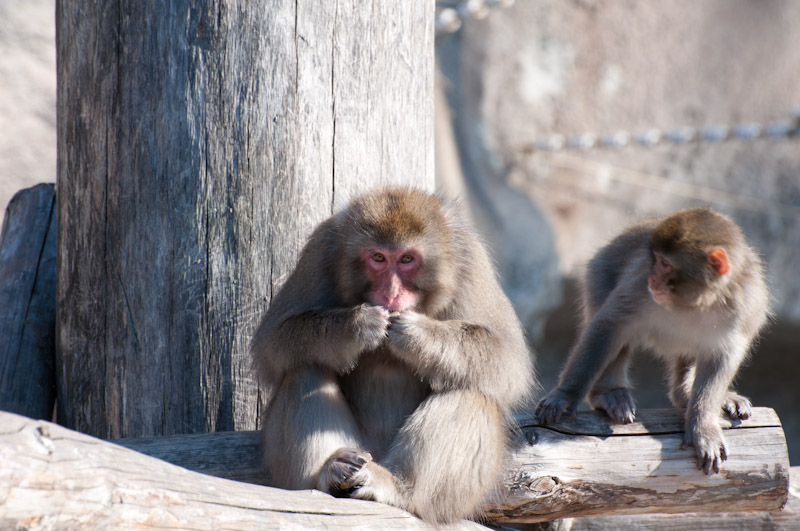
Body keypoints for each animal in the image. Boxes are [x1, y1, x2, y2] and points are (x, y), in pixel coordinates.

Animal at [253, 187, 536, 524]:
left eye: (407, 259)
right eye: (378, 258)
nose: (391, 293)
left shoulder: (471, 259)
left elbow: (507, 359)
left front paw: (416, 335)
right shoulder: (320, 249)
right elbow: (274, 340)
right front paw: (358, 326)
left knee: (470, 390)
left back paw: (400, 489)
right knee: (305, 368)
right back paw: (329, 473)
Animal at [536, 208, 768, 474]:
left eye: (665, 264)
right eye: (655, 260)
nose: (653, 279)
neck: (694, 304)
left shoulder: (744, 307)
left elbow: (720, 360)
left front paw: (703, 427)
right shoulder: (639, 286)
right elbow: (610, 324)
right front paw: (565, 394)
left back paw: (685, 395)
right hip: (601, 270)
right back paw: (608, 393)